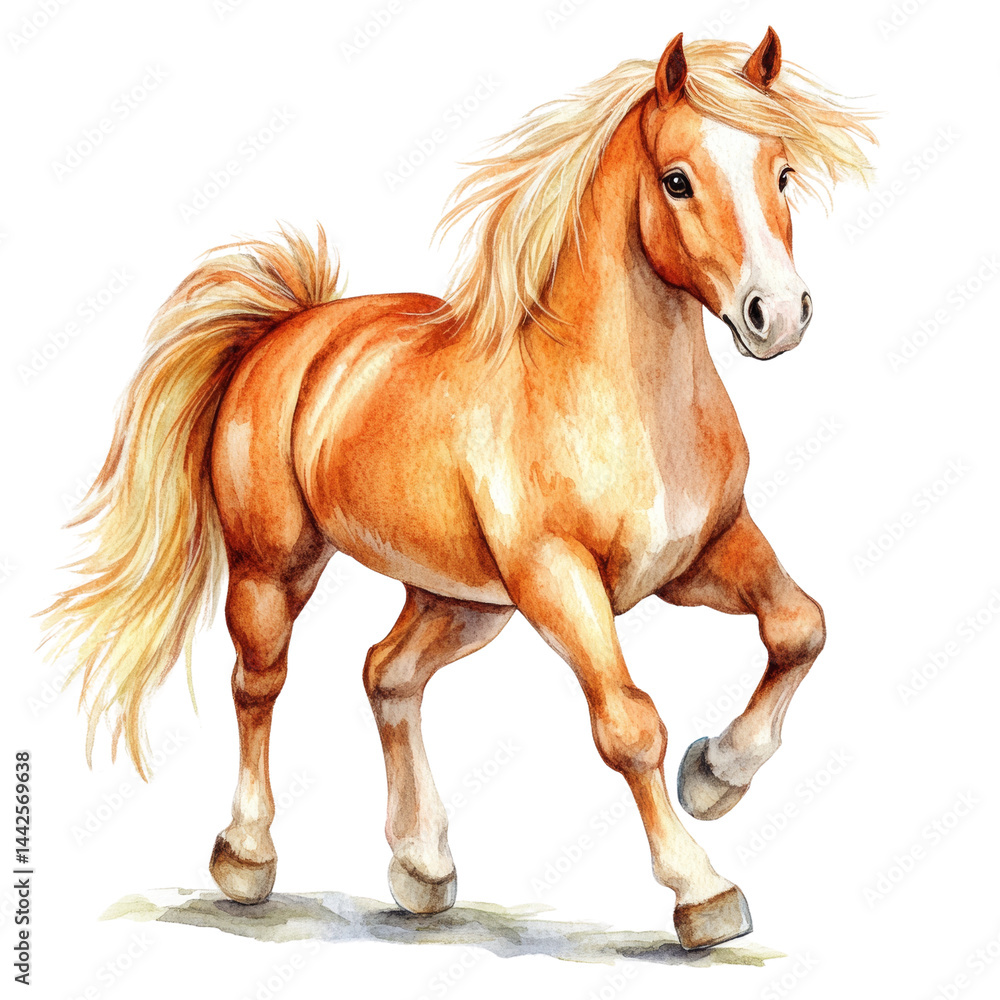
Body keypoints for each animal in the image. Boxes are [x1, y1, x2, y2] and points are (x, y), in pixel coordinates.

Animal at [44, 29, 875, 950]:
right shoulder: (559, 578)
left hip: (463, 601)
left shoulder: (704, 554)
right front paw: (702, 891)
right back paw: (247, 859)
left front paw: (716, 775)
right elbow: (628, 725)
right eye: (677, 180)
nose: (779, 315)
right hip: (275, 569)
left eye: (783, 171)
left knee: (387, 674)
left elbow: (800, 626)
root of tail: (287, 333)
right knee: (259, 684)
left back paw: (422, 866)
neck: (623, 398)